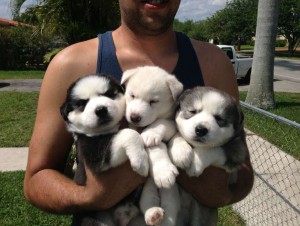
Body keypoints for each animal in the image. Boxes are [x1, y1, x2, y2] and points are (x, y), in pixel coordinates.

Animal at [60, 73, 149, 225]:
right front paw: (141, 161)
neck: (107, 130)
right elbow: (129, 133)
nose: (101, 110)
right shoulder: (94, 153)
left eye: (109, 94)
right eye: (82, 104)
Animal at [120, 66, 184, 226]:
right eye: (132, 95)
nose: (134, 117)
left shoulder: (170, 123)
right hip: (148, 190)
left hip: (171, 193)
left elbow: (159, 125)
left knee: (170, 208)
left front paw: (150, 134)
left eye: (153, 101)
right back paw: (153, 214)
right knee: (148, 202)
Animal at [169, 85, 248, 225]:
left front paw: (195, 163)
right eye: (192, 111)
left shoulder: (238, 152)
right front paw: (180, 152)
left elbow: (214, 148)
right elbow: (178, 134)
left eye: (219, 119)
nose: (200, 130)